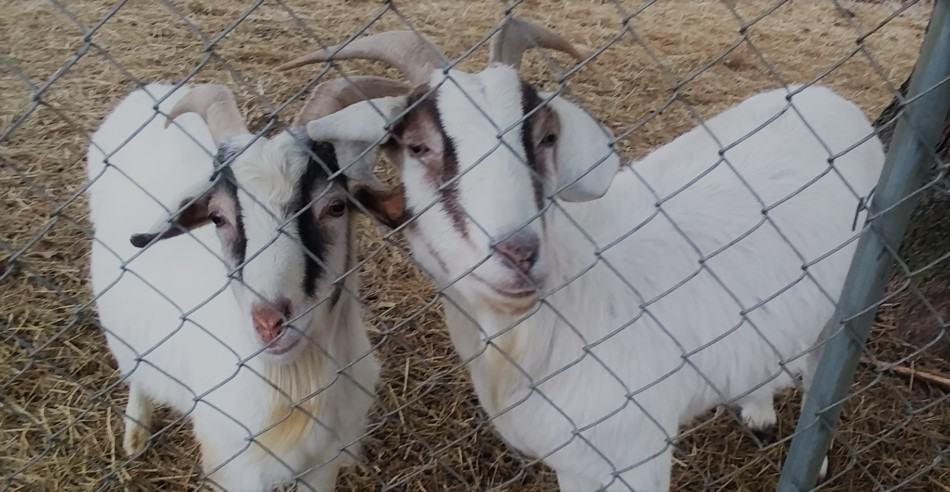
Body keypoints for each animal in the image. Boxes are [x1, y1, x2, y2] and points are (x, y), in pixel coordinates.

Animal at [85, 79, 406, 490]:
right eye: (217, 217)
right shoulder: (236, 466)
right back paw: (135, 434)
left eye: (336, 207)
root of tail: (149, 89)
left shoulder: (324, 462)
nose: (269, 322)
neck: (292, 387)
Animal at [282, 17, 884, 490]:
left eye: (545, 138)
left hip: (845, 298)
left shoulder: (637, 455)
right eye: (417, 146)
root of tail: (828, 99)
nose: (519, 253)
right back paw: (758, 411)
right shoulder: (574, 462)